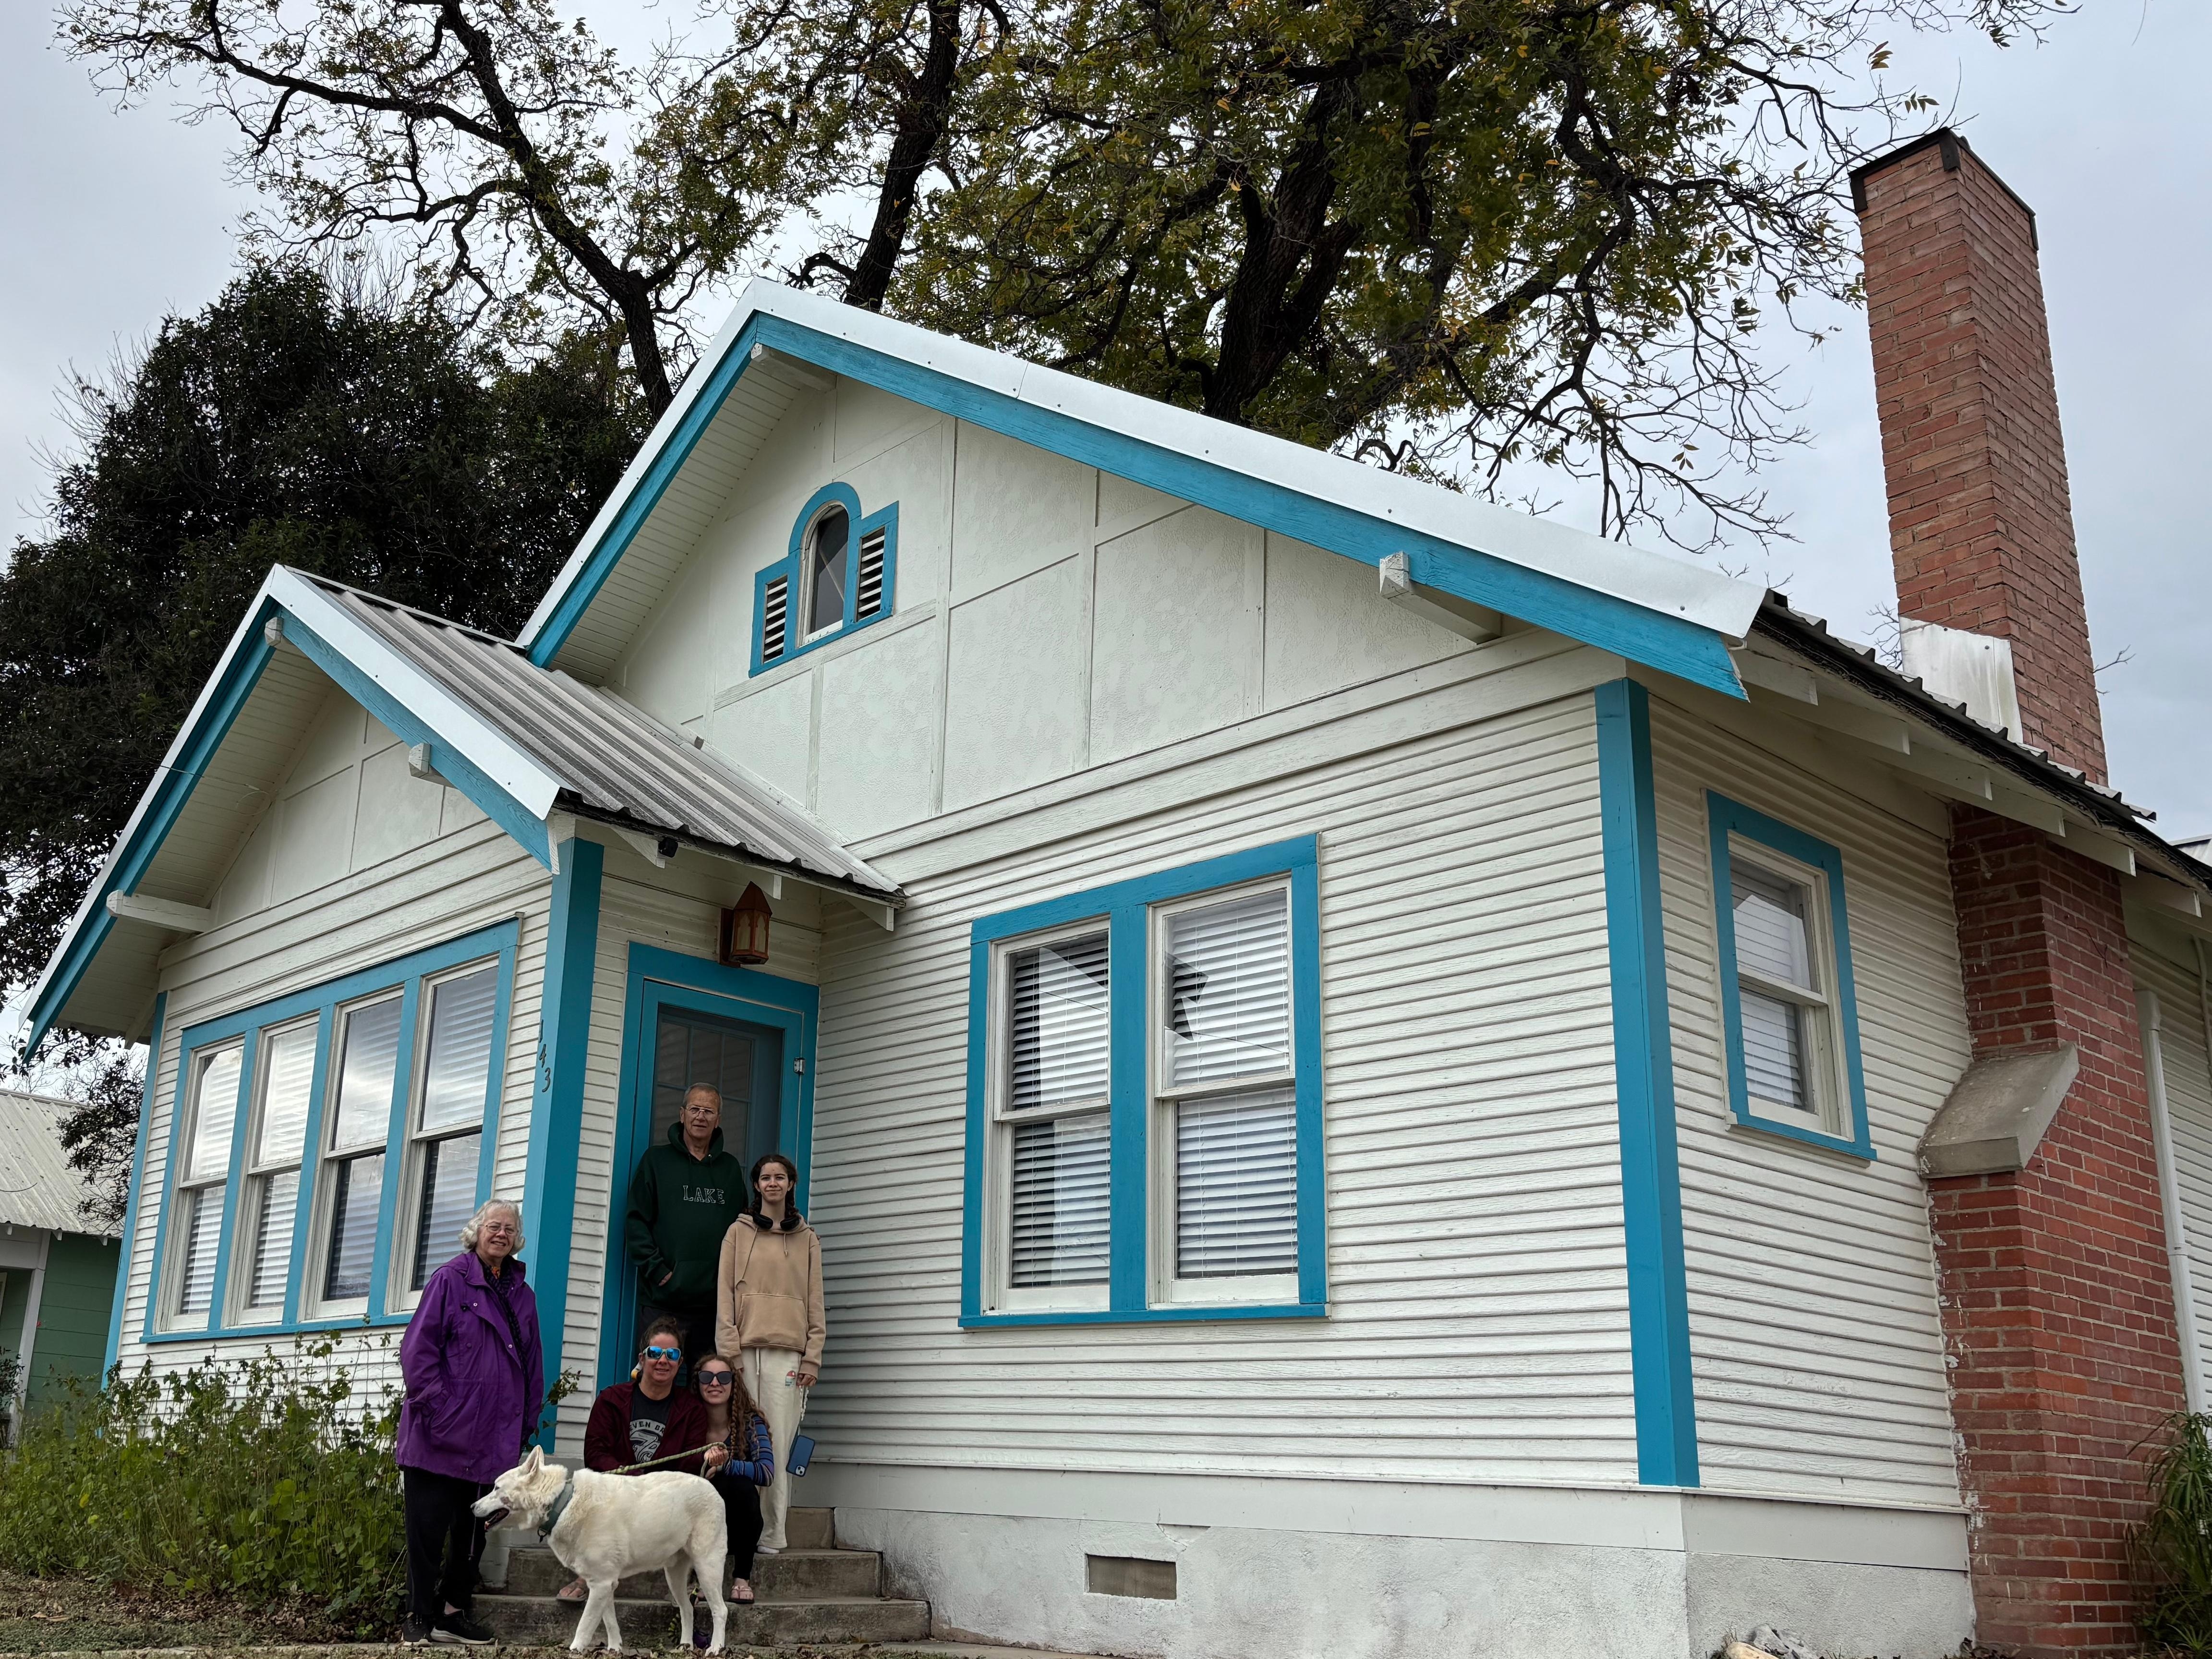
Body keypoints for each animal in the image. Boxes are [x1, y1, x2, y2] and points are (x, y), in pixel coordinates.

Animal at [472, 1446, 729, 1653]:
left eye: (496, 1488)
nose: (472, 1506)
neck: (562, 1503)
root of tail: (710, 1485)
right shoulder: (603, 1584)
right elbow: (609, 1622)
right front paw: (615, 1649)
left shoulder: (601, 1585)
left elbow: (585, 1626)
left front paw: (576, 1651)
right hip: (674, 1576)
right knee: (688, 1609)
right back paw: (686, 1646)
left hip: (707, 1568)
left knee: (721, 1610)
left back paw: (716, 1648)